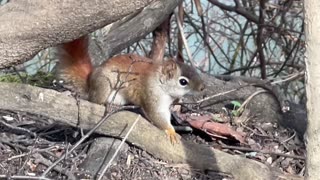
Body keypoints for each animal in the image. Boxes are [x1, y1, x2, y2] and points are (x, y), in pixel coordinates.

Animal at [56, 36, 204, 143]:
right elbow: (156, 115)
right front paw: (171, 131)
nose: (202, 87)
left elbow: (166, 114)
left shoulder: (166, 104)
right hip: (104, 85)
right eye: (183, 81)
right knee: (94, 100)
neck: (161, 84)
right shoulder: (152, 96)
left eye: (194, 71)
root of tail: (90, 82)